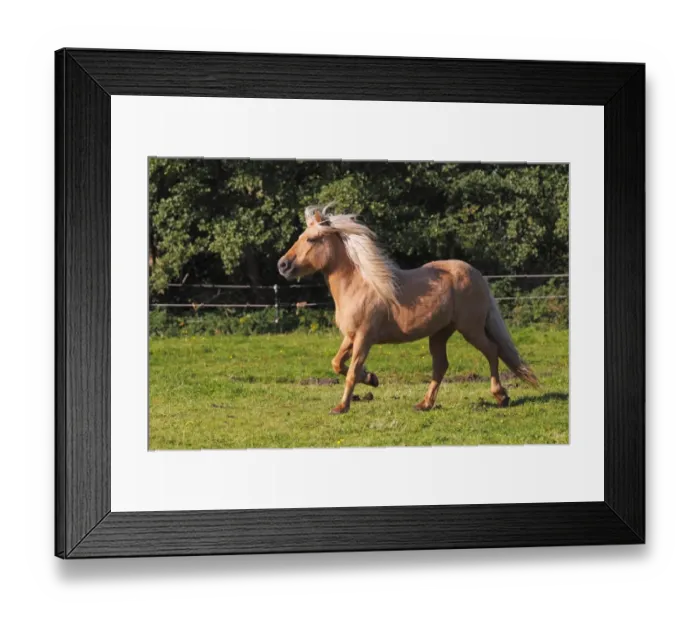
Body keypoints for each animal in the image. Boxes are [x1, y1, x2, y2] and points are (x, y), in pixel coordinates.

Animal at [277, 206, 539, 414]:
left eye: (311, 239)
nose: (282, 265)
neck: (359, 286)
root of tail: (477, 275)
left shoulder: (364, 337)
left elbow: (351, 370)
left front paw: (341, 407)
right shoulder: (351, 336)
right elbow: (337, 363)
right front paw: (372, 379)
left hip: (470, 329)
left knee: (492, 351)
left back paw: (501, 396)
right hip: (440, 333)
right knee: (441, 365)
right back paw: (424, 404)